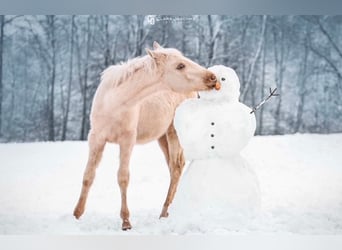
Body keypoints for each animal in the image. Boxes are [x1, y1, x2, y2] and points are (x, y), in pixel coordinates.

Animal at [73, 41, 216, 230]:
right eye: (180, 66)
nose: (213, 77)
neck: (114, 102)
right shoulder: (96, 138)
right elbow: (88, 176)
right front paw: (76, 214)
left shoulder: (127, 140)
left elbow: (123, 177)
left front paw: (126, 221)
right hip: (162, 137)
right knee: (173, 168)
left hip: (173, 133)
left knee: (176, 167)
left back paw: (164, 212)